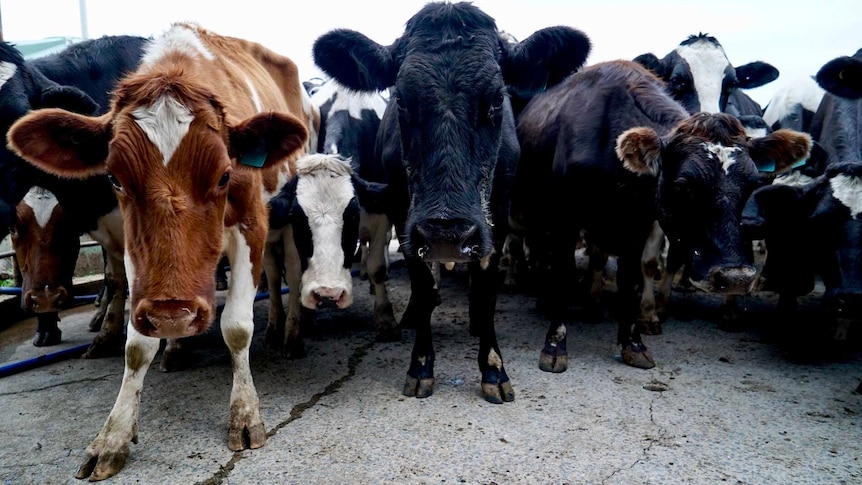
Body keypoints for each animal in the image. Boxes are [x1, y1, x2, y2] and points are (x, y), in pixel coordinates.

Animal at [312, 1, 592, 402]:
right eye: (401, 99)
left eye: (496, 101)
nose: (448, 234)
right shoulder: (405, 216)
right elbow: (424, 286)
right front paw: (420, 365)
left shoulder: (495, 216)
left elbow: (487, 288)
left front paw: (493, 369)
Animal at [516, 60, 812, 370]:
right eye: (682, 185)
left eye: (752, 183)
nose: (735, 278)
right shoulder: (566, 219)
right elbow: (563, 273)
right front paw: (554, 345)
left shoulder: (638, 225)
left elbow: (631, 279)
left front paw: (633, 342)